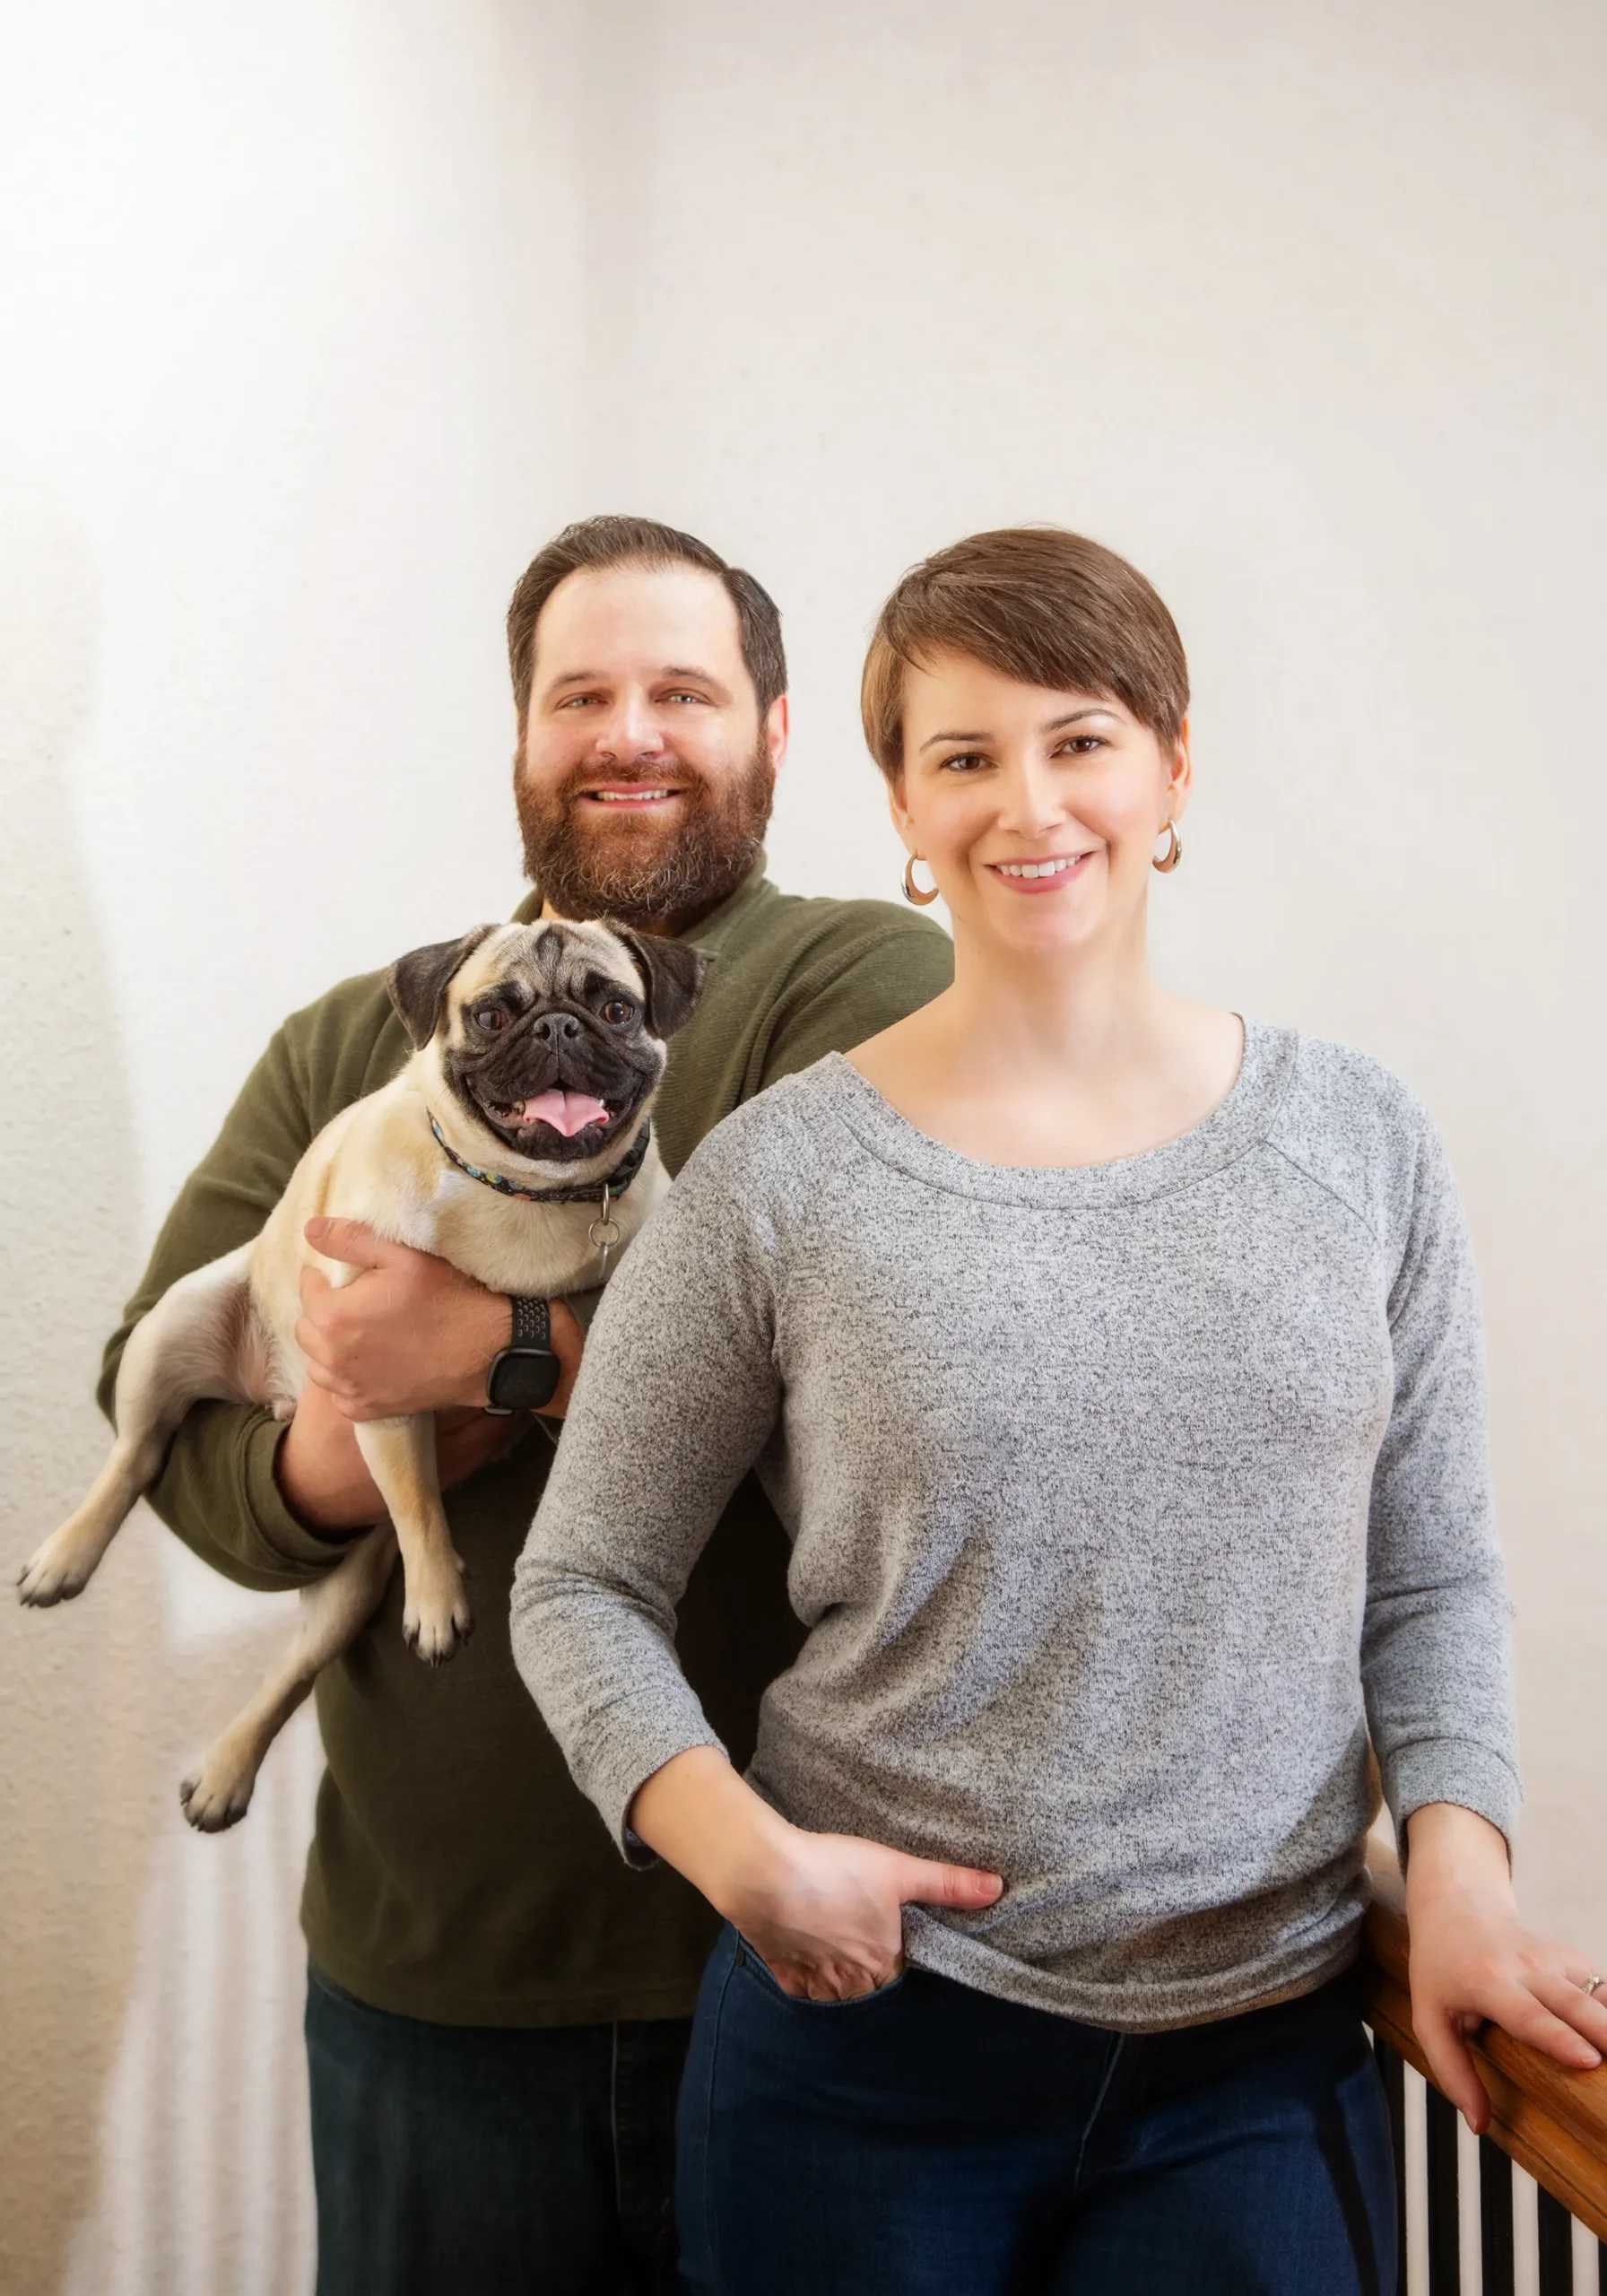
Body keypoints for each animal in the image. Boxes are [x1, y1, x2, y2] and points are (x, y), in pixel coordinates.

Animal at [18, 917, 704, 1828]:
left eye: (618, 1009)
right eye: (493, 1016)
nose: (559, 1027)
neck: (527, 1195)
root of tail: (274, 1397)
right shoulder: (378, 1384)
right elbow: (417, 1505)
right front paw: (440, 1602)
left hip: (348, 1586)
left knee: (295, 1669)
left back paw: (226, 1774)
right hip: (171, 1329)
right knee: (135, 1455)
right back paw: (65, 1558)